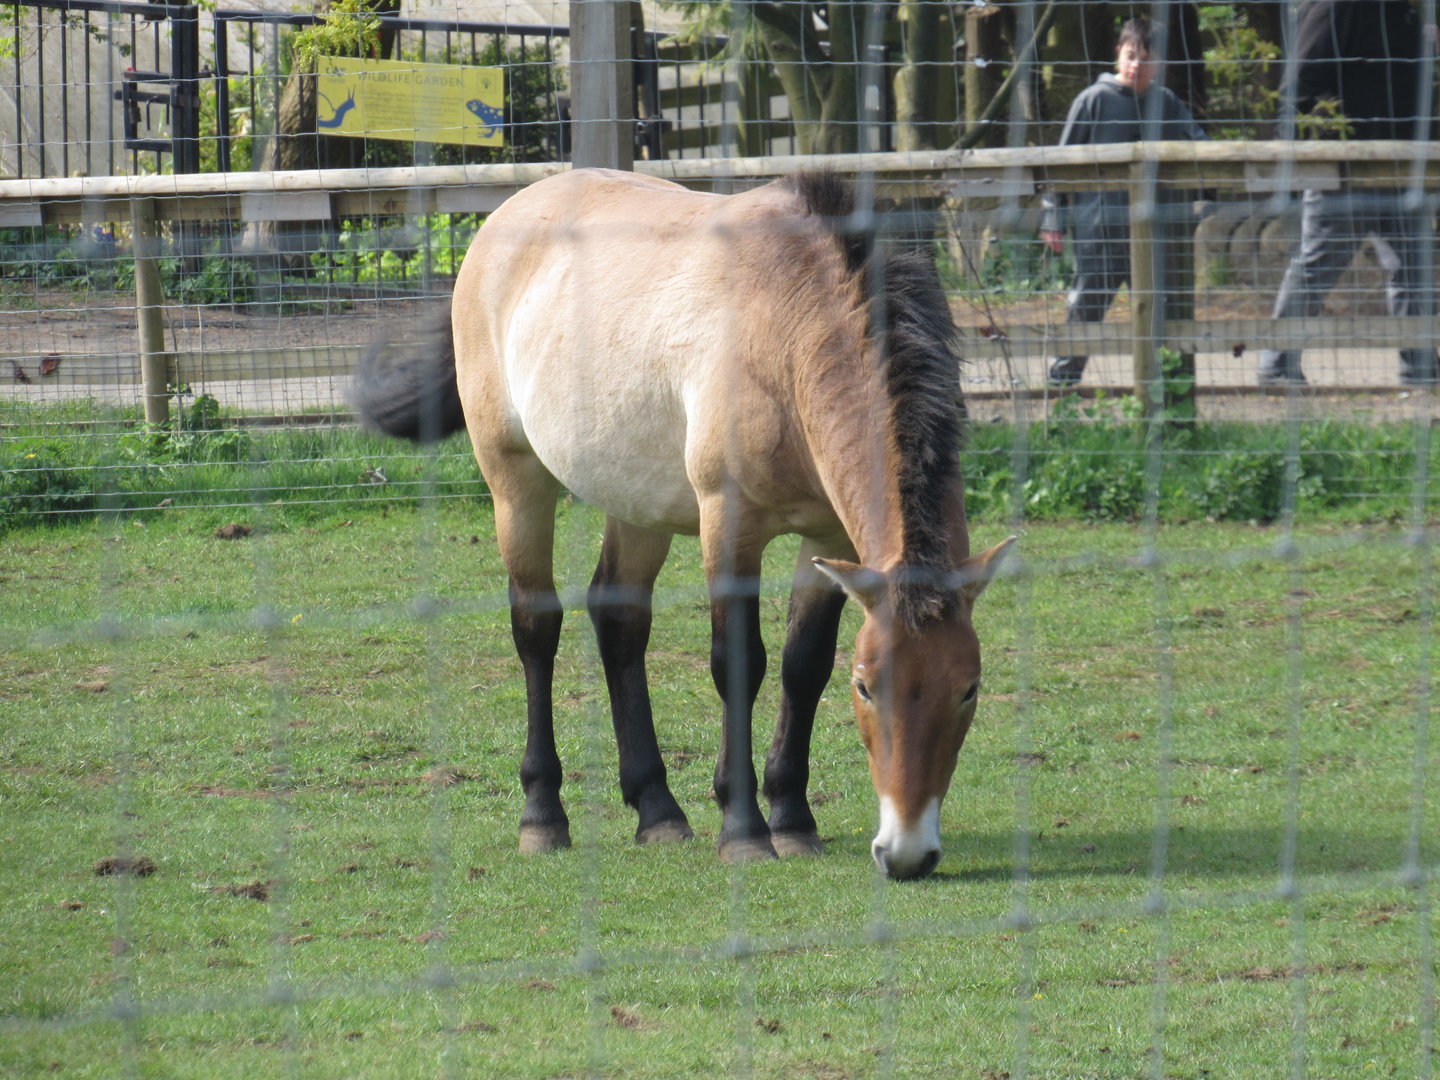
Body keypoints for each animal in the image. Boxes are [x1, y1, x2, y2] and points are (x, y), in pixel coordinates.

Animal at [351, 168, 1013, 880]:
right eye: (865, 688)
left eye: (969, 689)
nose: (908, 853)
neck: (785, 332)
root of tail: (507, 215)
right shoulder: (730, 523)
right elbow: (738, 663)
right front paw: (744, 828)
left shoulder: (829, 540)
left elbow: (802, 664)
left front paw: (792, 818)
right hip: (516, 482)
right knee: (536, 628)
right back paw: (543, 816)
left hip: (638, 503)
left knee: (618, 621)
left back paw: (657, 810)